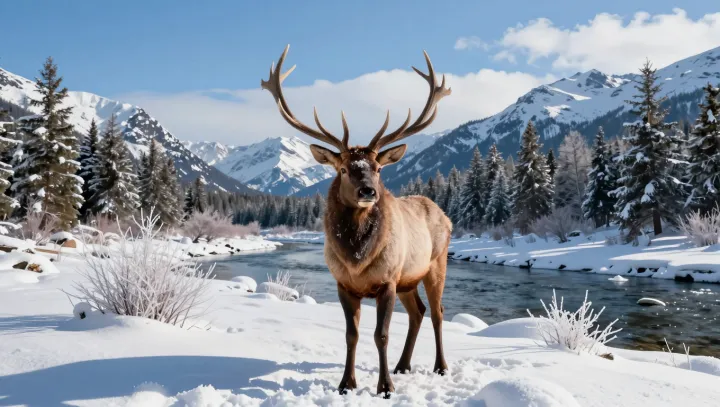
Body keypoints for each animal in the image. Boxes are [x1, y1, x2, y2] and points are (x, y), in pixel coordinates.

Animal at [261, 45, 452, 398]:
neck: (357, 258)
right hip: (408, 278)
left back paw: (440, 366)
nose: (368, 191)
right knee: (418, 312)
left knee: (438, 312)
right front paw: (346, 384)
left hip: (436, 264)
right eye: (343, 168)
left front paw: (385, 387)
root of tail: (445, 215)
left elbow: (381, 334)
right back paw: (403, 365)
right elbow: (352, 335)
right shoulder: (344, 284)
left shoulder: (387, 281)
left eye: (378, 168)